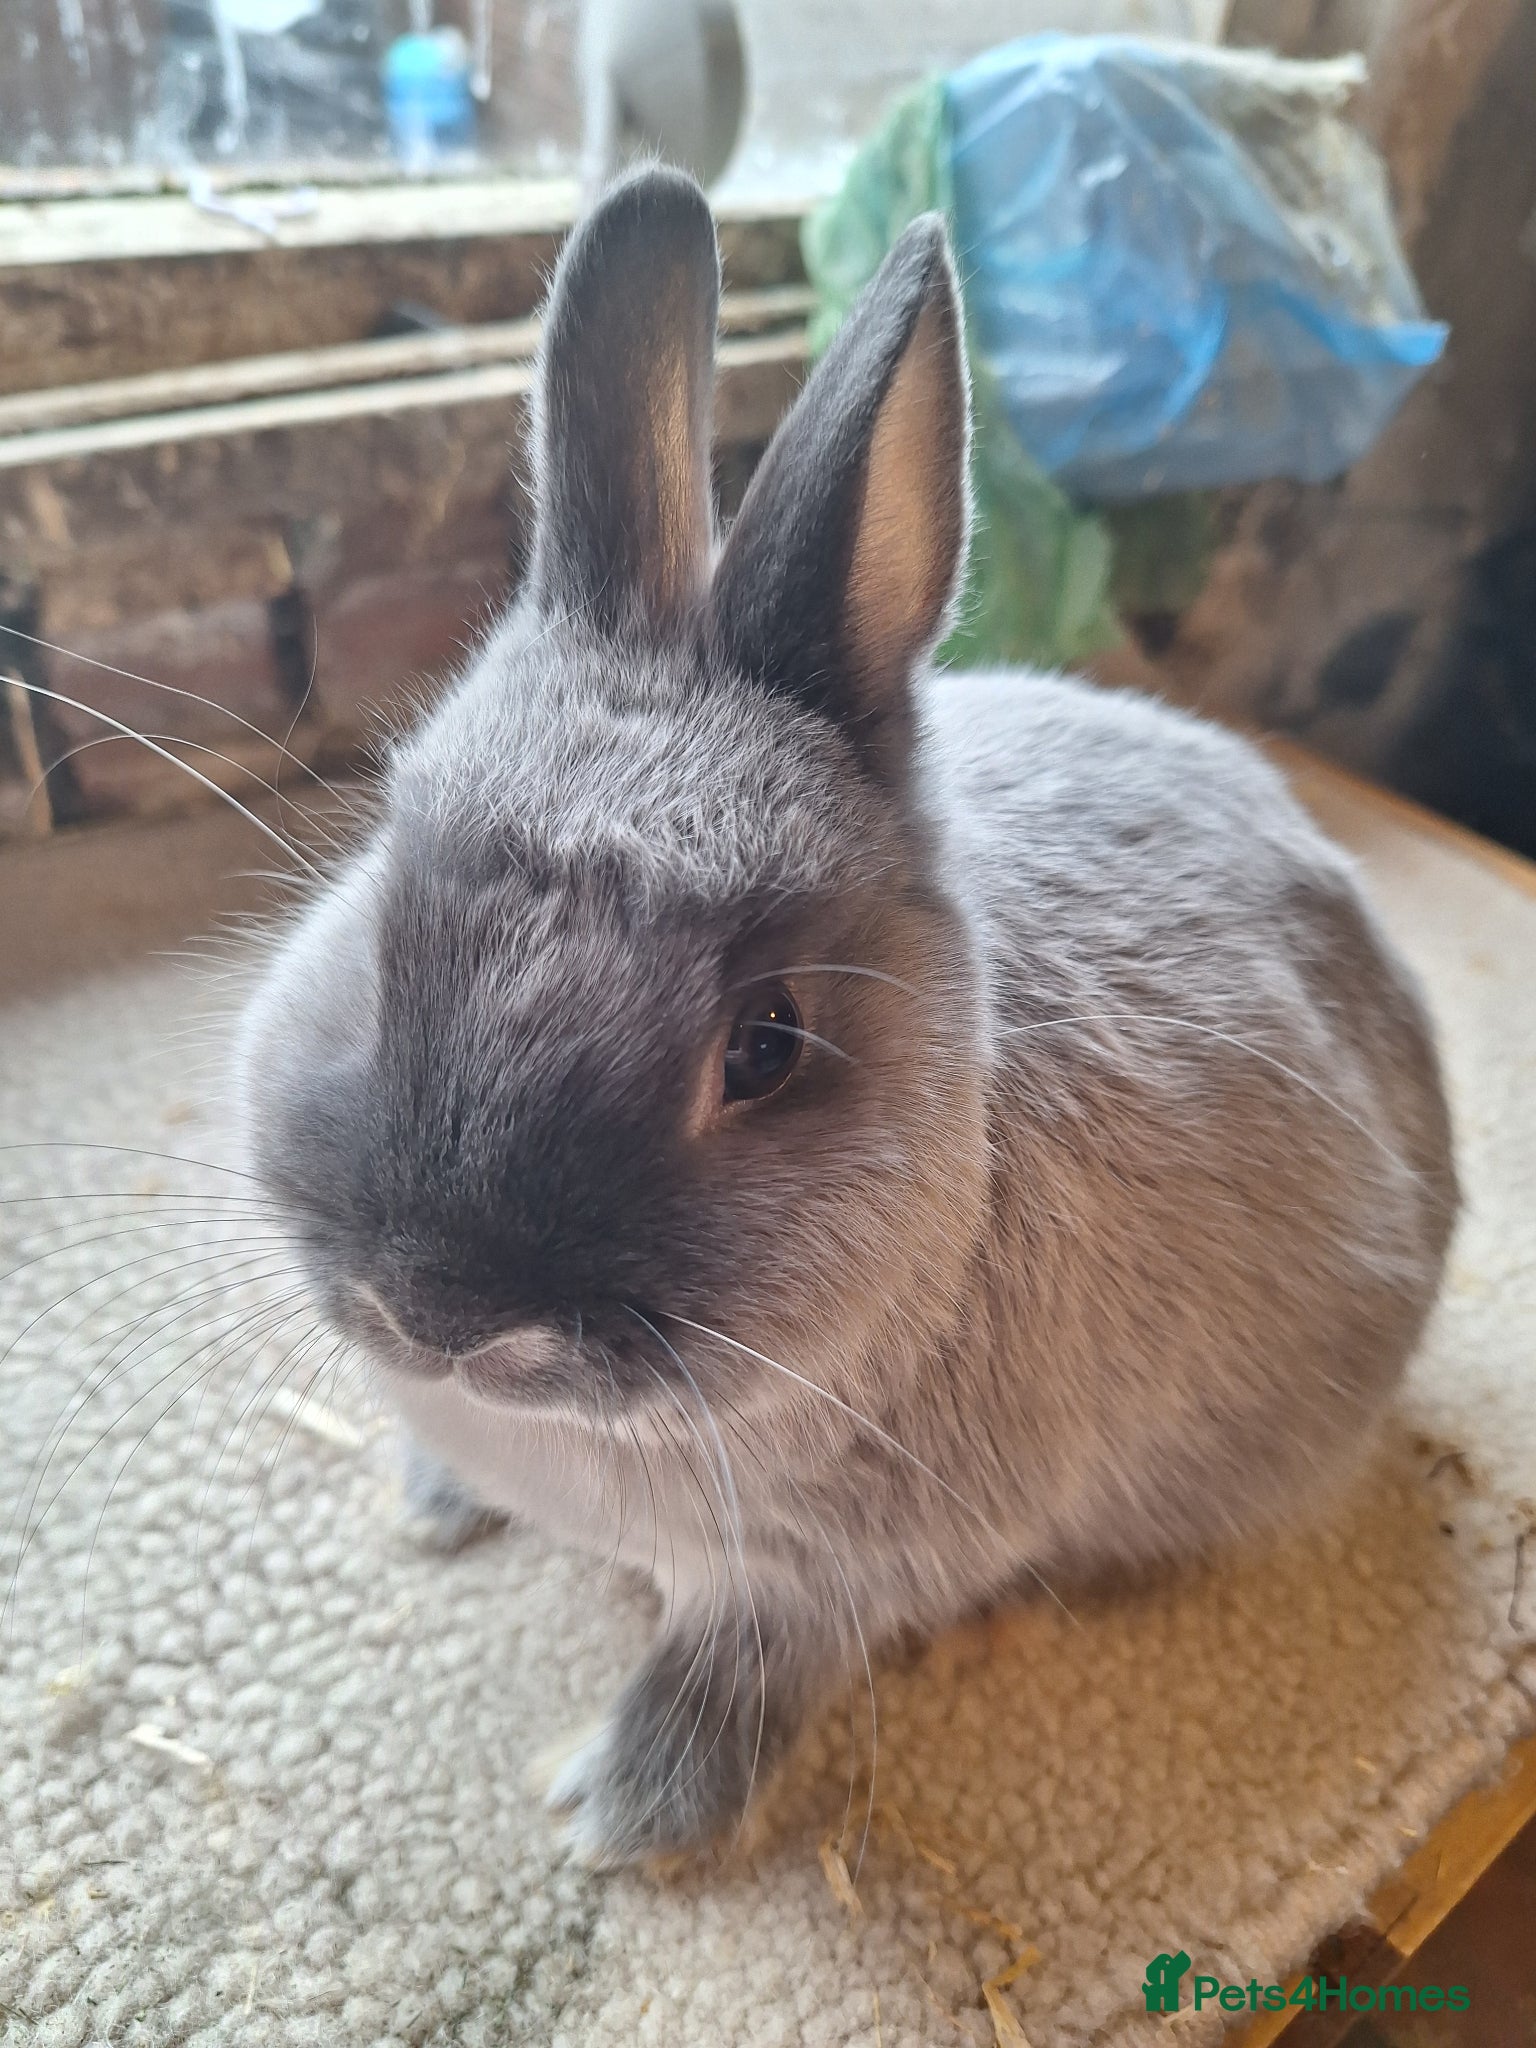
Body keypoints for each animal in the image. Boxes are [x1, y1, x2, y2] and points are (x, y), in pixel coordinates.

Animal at [232, 166, 1458, 1867]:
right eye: (382, 907)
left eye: (768, 1047)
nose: (440, 1307)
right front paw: (433, 1500)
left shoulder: (829, 1577)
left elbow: (741, 1669)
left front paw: (621, 1816)